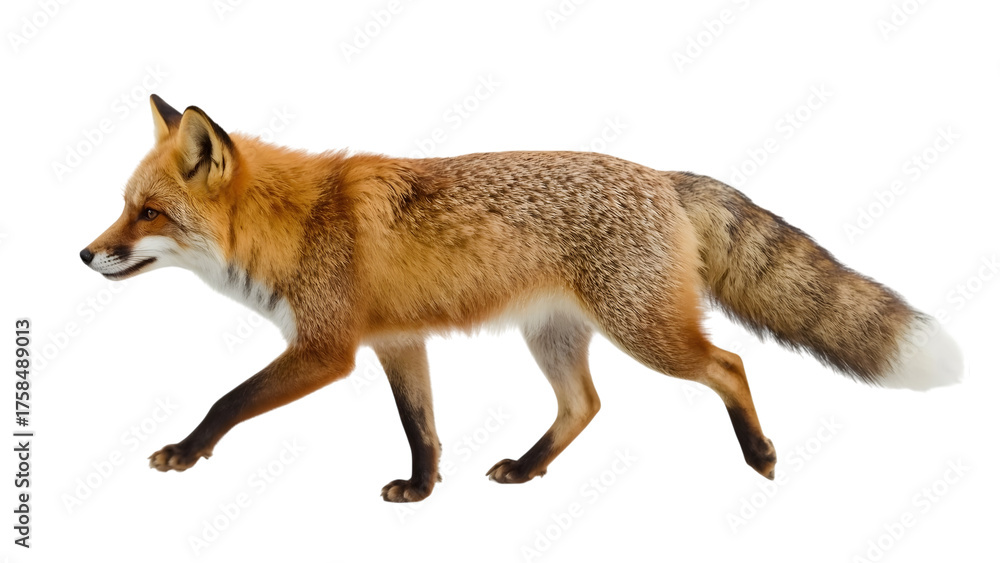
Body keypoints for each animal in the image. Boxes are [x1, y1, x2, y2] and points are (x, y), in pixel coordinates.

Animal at [80, 95, 962, 502]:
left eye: (148, 213)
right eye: (125, 206)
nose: (86, 254)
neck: (294, 222)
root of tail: (663, 177)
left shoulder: (327, 349)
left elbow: (228, 398)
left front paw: (185, 451)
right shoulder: (397, 342)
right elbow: (423, 428)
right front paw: (422, 490)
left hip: (648, 332)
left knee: (730, 364)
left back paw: (760, 453)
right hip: (555, 338)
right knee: (585, 404)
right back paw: (530, 466)